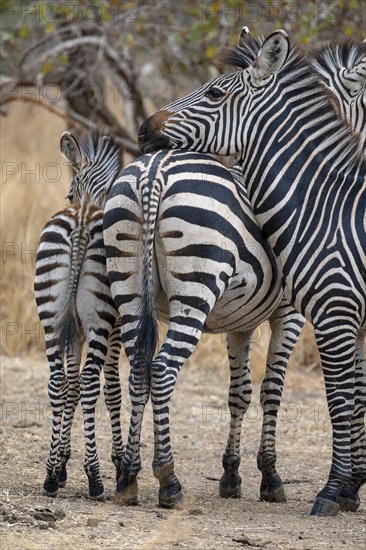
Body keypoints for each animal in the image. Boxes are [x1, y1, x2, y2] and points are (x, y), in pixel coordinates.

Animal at [102, 148, 304, 508]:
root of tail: (154, 171)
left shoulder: (241, 323)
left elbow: (240, 393)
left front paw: (231, 474)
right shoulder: (290, 313)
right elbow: (272, 390)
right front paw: (270, 476)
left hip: (127, 280)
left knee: (139, 370)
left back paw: (128, 477)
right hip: (197, 282)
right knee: (162, 370)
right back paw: (168, 480)